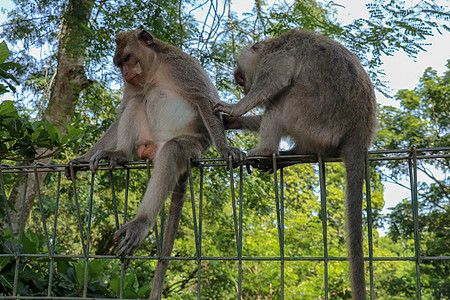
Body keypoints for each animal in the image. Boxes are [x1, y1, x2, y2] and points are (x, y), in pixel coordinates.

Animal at [65, 29, 244, 298]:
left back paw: (141, 221)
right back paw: (119, 154)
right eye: (120, 64)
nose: (125, 73)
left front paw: (225, 149)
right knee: (136, 103)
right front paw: (84, 158)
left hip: (193, 147)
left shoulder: (182, 67)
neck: (154, 69)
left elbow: (206, 101)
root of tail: (155, 146)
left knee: (172, 151)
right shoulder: (132, 85)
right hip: (145, 138)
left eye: (128, 58)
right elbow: (123, 112)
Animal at [214, 28, 376, 300]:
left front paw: (235, 108)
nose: (244, 88)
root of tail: (360, 131)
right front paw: (233, 121)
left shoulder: (278, 57)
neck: (274, 43)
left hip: (316, 120)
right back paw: (290, 155)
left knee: (283, 98)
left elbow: (274, 82)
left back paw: (265, 150)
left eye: (240, 78)